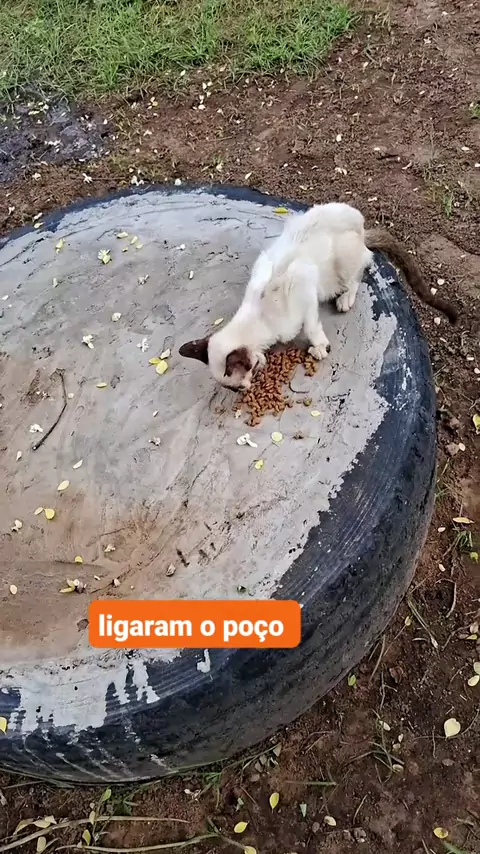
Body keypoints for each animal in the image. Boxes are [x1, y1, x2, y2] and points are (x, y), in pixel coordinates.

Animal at [179, 202, 458, 390]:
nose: (245, 389)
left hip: (343, 260)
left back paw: (345, 298)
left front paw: (319, 348)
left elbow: (311, 325)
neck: (259, 316)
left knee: (364, 263)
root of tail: (360, 223)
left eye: (239, 383)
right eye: (235, 389)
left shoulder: (305, 285)